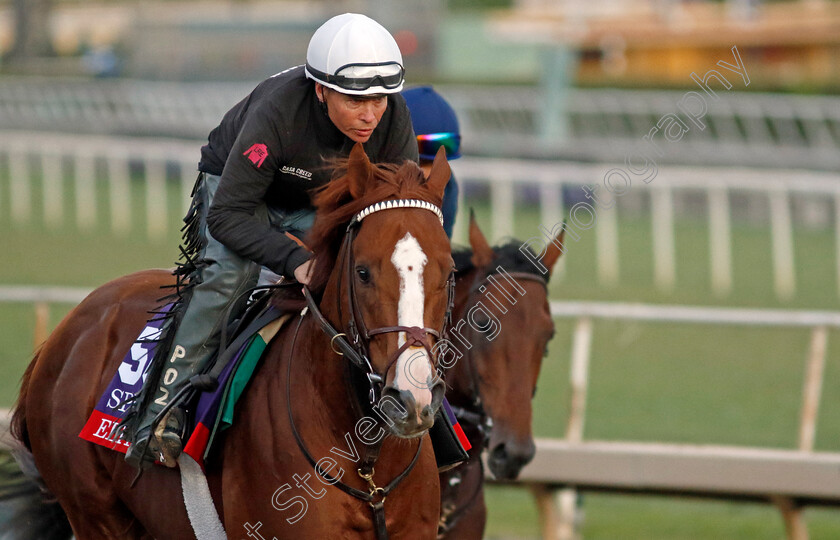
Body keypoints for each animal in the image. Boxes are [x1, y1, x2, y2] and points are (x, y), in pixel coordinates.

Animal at [9, 143, 452, 540]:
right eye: (362, 272)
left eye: (448, 272)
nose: (411, 399)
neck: (366, 462)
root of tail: (67, 330)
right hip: (95, 514)